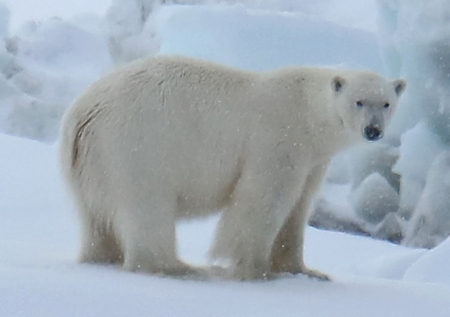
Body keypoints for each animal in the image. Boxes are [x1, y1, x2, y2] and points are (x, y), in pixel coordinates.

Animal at [59, 55, 404, 280]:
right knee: (147, 205)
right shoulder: (277, 138)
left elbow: (298, 208)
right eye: (359, 101)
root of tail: (83, 112)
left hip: (91, 162)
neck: (309, 114)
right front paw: (257, 269)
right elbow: (263, 200)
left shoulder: (313, 159)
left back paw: (103, 258)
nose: (373, 130)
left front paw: (305, 270)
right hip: (138, 145)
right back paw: (176, 267)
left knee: (95, 219)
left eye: (386, 103)